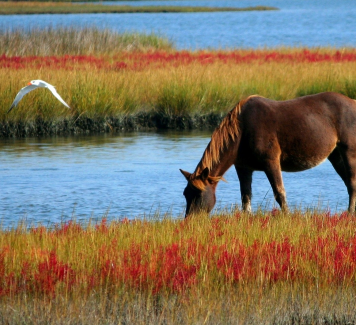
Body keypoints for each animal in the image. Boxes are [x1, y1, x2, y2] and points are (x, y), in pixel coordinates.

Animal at [181, 91, 356, 215]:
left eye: (198, 194)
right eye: (185, 194)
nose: (190, 220)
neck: (242, 131)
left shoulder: (271, 162)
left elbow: (279, 192)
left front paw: (287, 216)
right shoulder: (243, 167)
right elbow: (245, 196)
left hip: (348, 151)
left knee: (352, 183)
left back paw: (350, 213)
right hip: (335, 155)